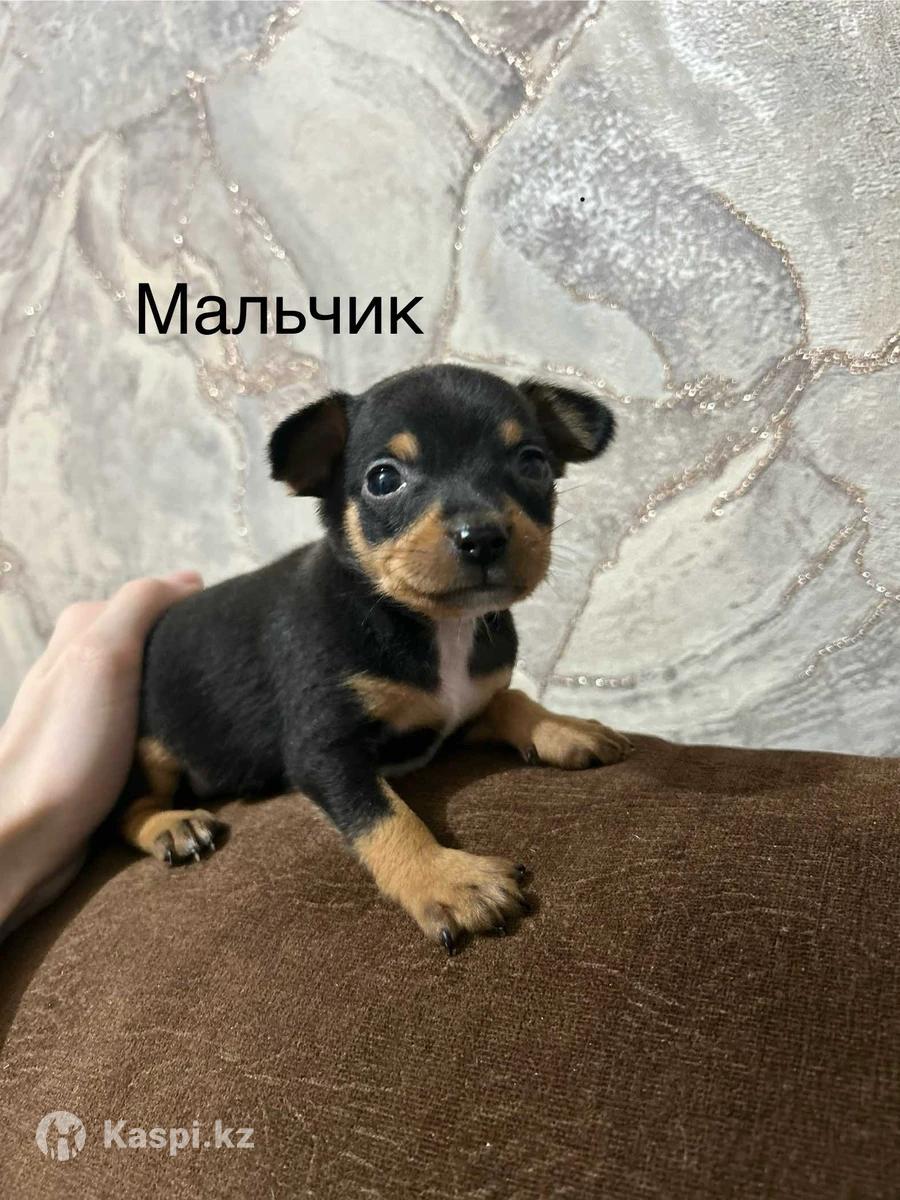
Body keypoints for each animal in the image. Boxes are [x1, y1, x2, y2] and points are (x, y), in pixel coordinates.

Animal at [120, 364, 633, 952]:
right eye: (384, 480)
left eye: (533, 463)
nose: (482, 536)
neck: (438, 626)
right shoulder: (324, 751)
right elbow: (386, 816)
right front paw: (447, 878)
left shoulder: (456, 717)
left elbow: (512, 699)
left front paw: (564, 725)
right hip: (151, 749)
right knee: (129, 810)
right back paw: (173, 825)